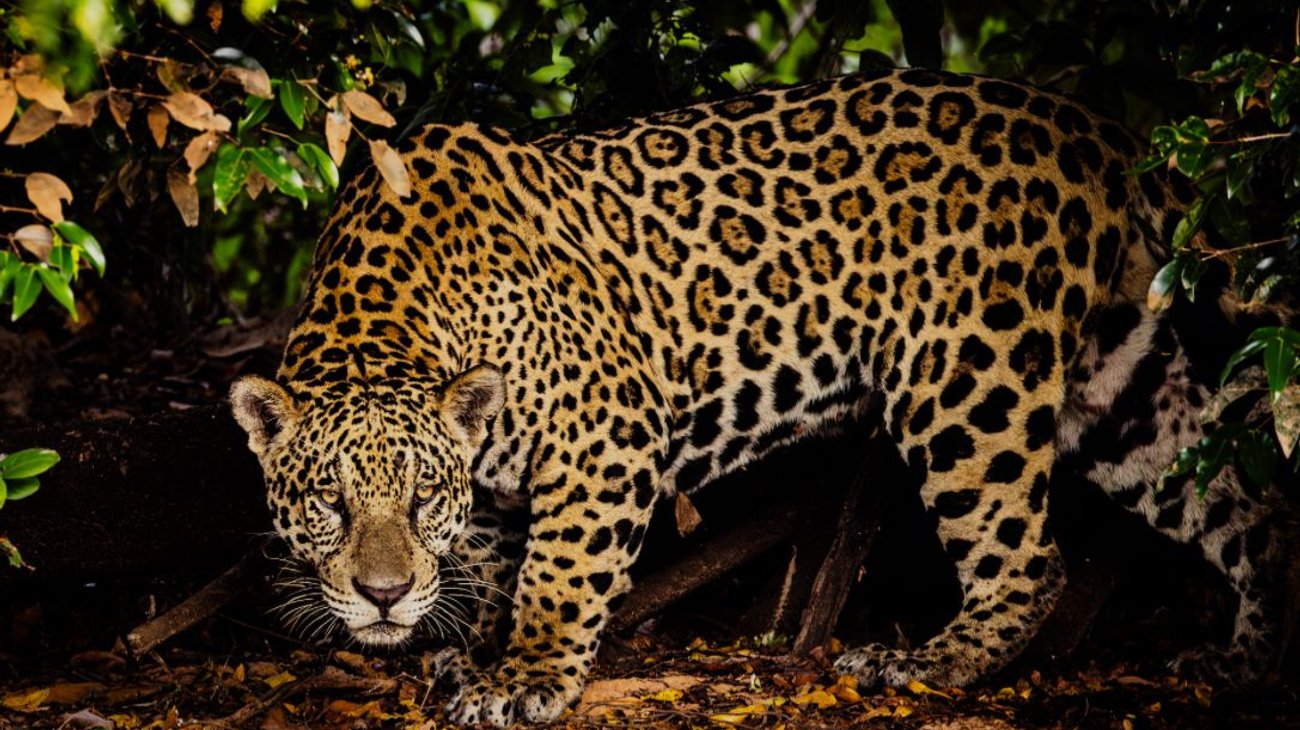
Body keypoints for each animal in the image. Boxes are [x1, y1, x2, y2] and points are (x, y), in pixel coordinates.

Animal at [229, 67, 1289, 727]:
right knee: (1244, 500)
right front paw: (464, 651)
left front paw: (527, 675)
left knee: (1030, 560)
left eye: (417, 500)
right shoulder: (489, 478)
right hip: (1120, 383)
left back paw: (923, 664)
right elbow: (489, 567)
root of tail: (1098, 132)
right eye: (329, 503)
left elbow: (557, 573)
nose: (381, 595)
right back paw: (1248, 662)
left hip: (966, 378)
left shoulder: (607, 430)